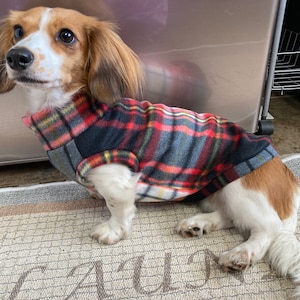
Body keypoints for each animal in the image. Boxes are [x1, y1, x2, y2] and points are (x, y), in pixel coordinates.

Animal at [0, 6, 300, 296]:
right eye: (18, 31)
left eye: (66, 35)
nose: (16, 57)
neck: (71, 114)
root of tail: (286, 173)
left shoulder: (117, 177)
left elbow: (117, 207)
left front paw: (113, 231)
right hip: (217, 192)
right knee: (230, 217)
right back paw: (198, 224)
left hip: (241, 187)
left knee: (266, 228)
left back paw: (241, 253)